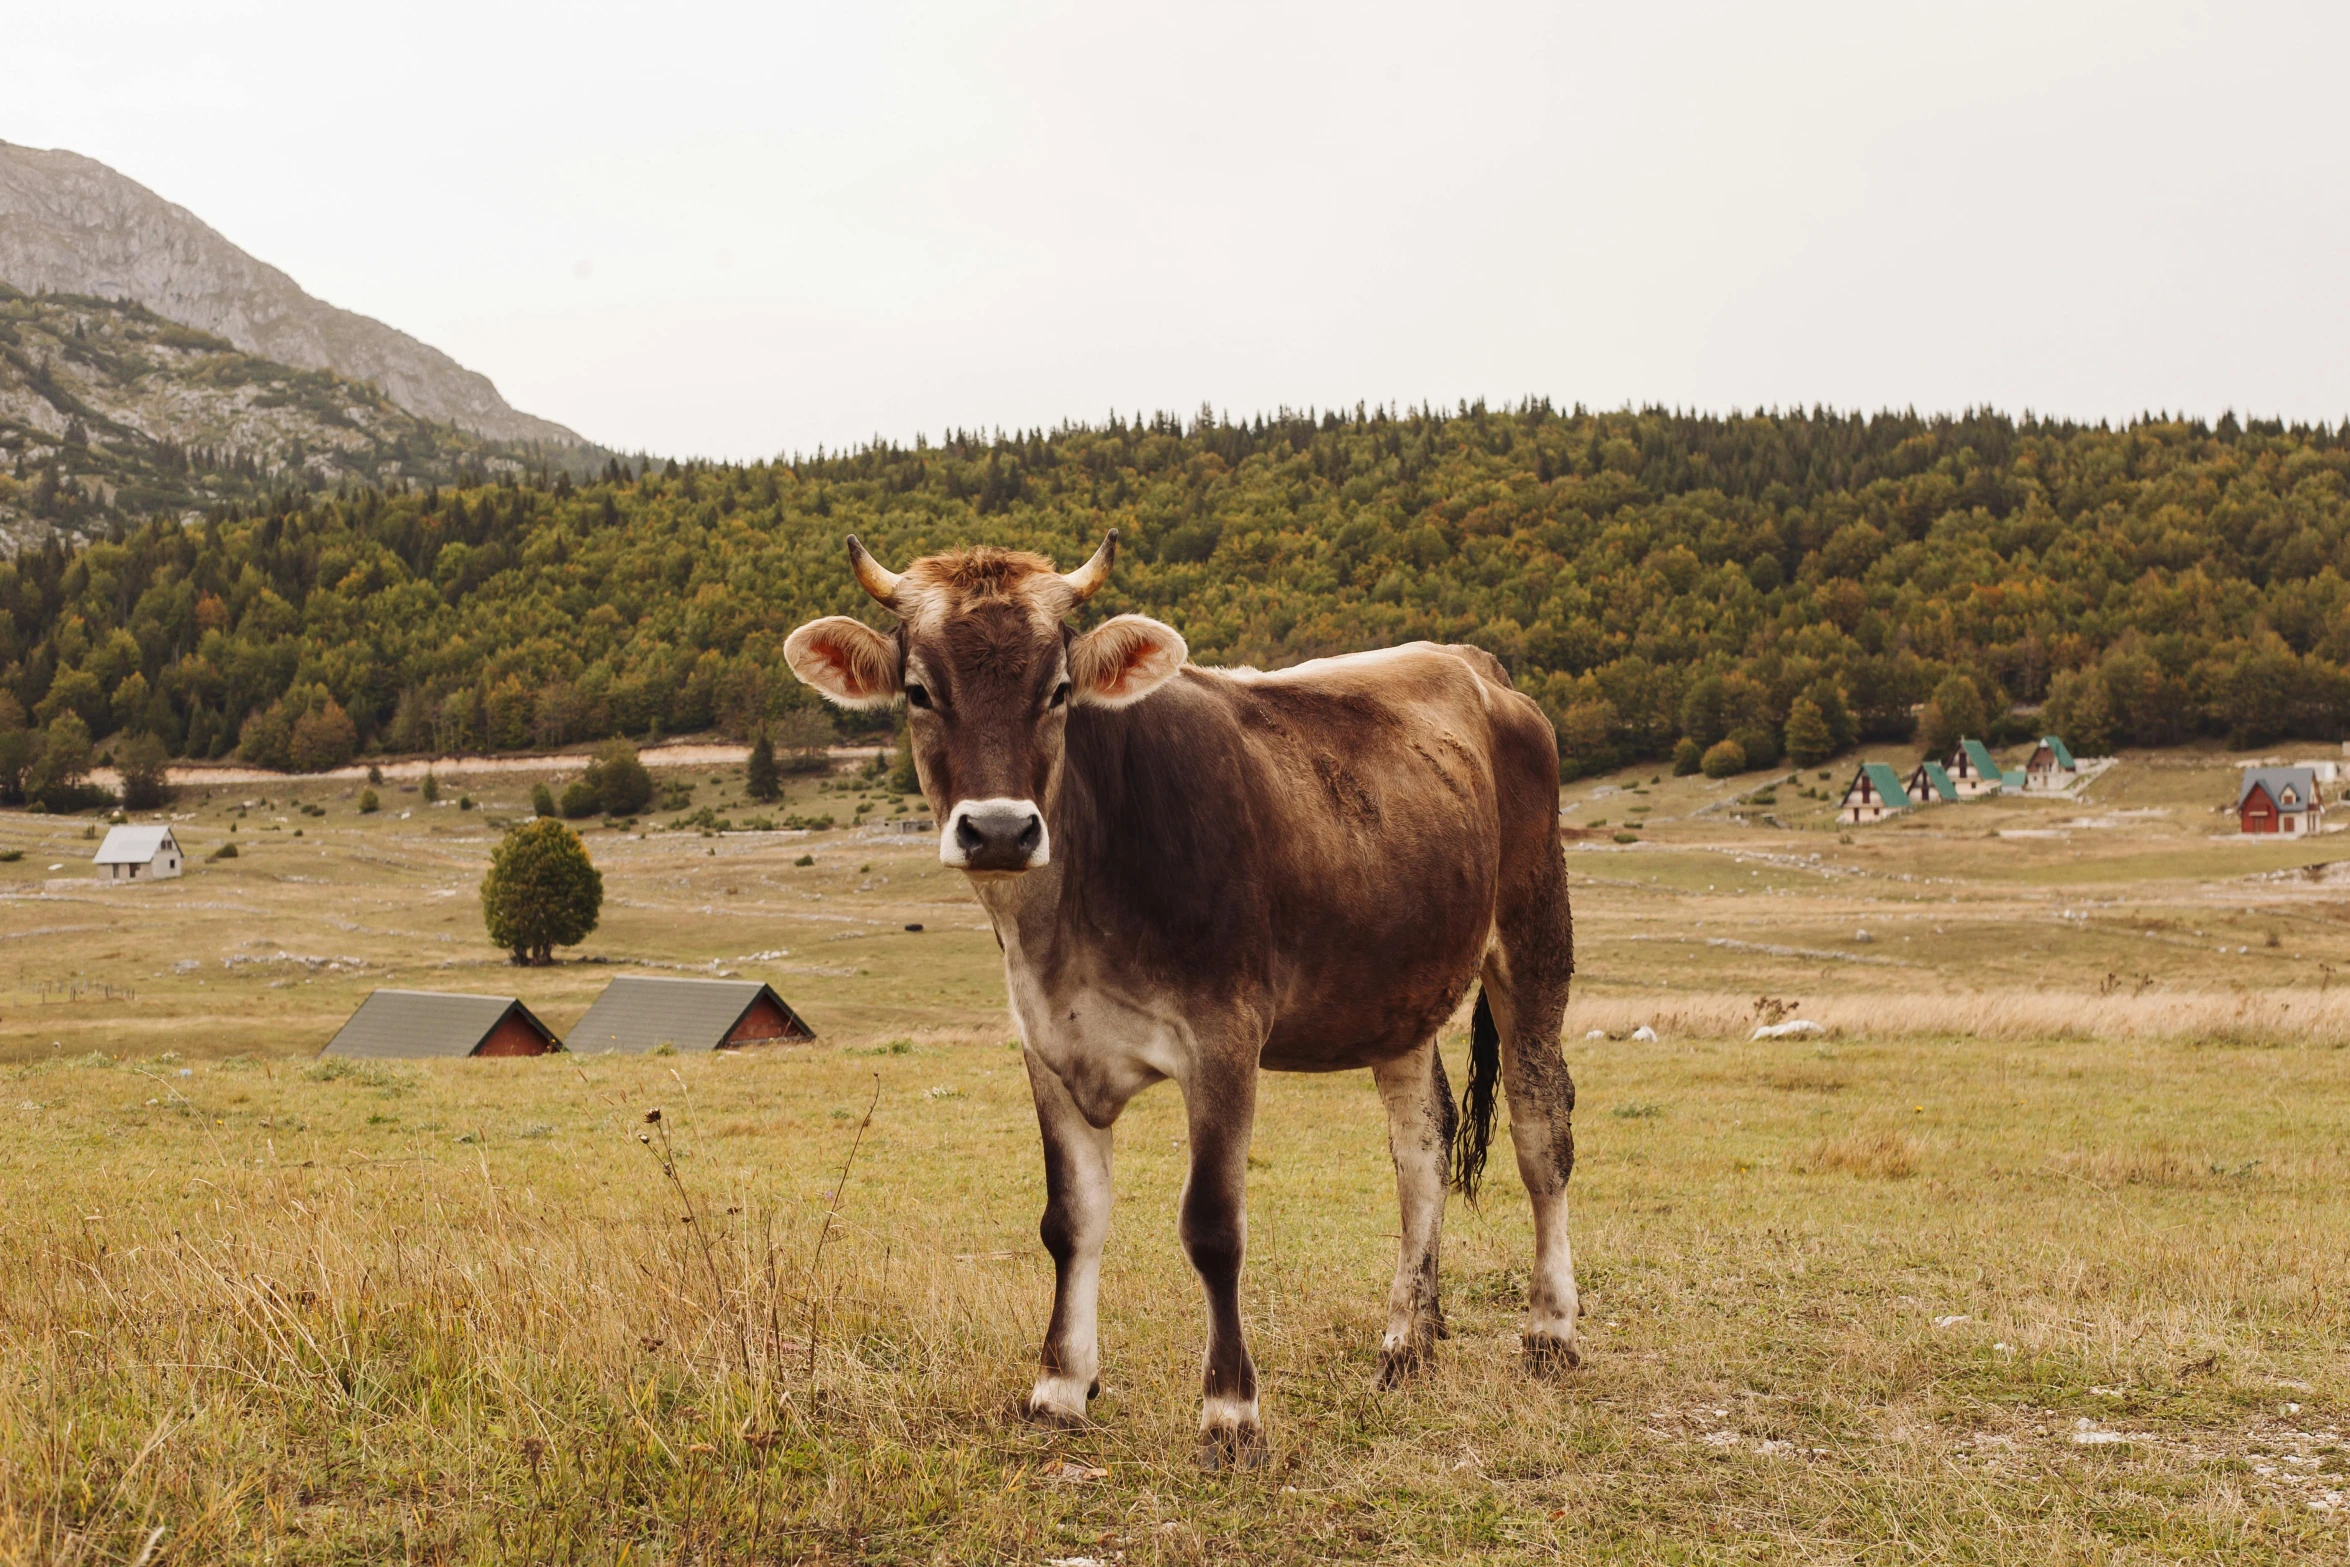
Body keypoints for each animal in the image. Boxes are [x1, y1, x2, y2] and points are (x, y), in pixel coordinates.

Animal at [784, 533, 1579, 1465]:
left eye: (1058, 690)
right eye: (918, 691)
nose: (1001, 829)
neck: (1067, 926)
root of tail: (1474, 663)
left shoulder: (1223, 1039)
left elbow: (1213, 1227)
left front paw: (1230, 1410)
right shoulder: (1048, 1045)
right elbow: (1071, 1220)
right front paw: (1059, 1386)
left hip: (1534, 931)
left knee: (1540, 1128)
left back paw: (1550, 1329)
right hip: (1403, 984)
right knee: (1423, 1144)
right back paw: (1406, 1340)